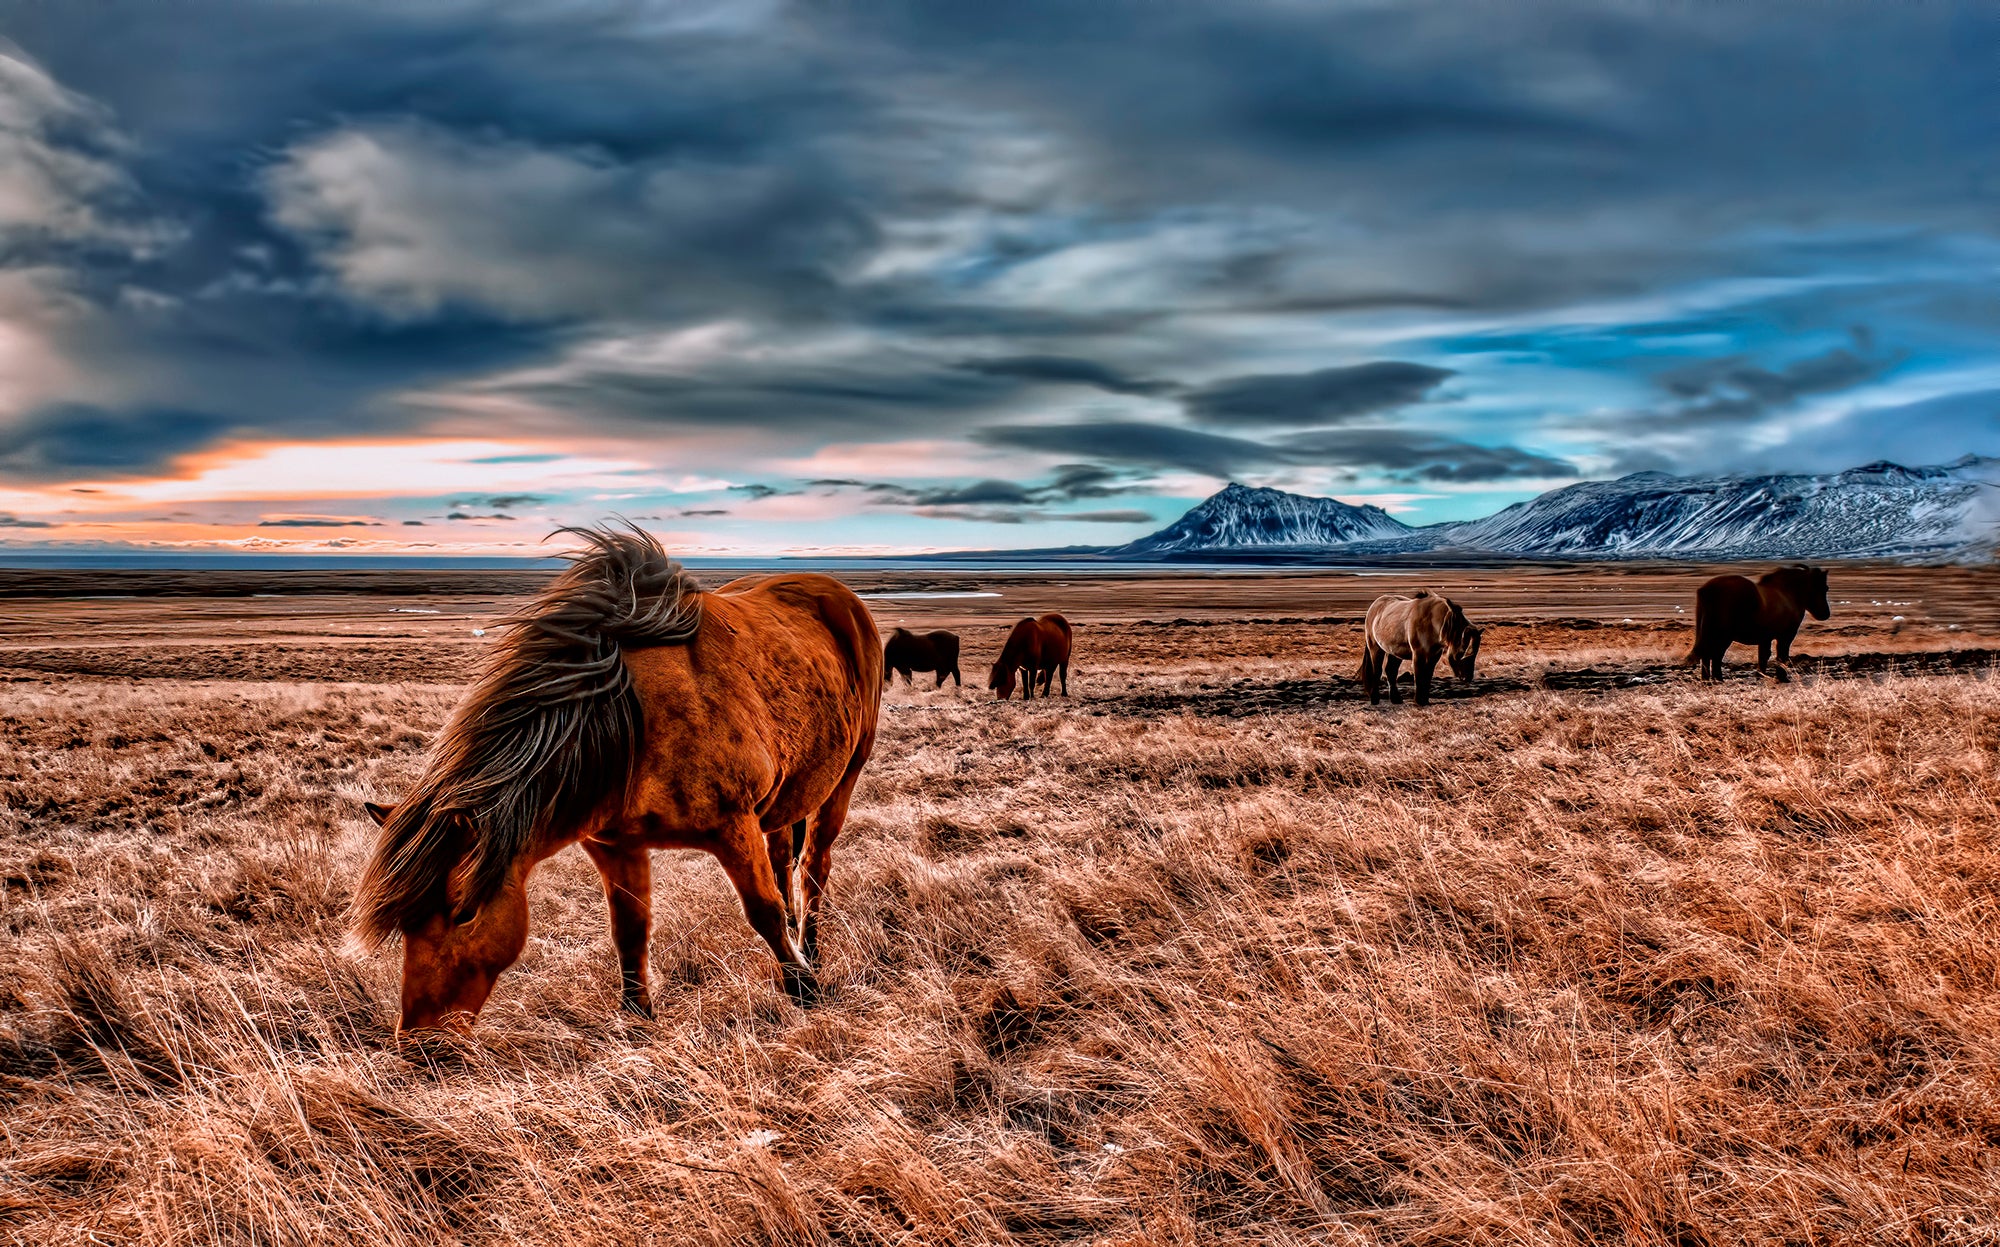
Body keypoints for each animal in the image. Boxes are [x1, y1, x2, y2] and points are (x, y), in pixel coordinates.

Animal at [354, 527, 884, 1031]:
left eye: (464, 912)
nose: (417, 1040)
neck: (630, 726)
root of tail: (839, 594)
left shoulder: (734, 827)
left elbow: (763, 911)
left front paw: (804, 990)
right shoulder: (615, 845)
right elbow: (629, 930)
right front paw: (637, 1017)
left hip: (843, 780)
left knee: (813, 866)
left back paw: (809, 952)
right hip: (787, 798)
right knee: (783, 859)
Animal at [1360, 591, 1488, 707]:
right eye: (1462, 652)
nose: (1468, 677)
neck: (1432, 623)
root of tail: (1374, 606)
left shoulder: (1433, 655)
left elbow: (1427, 675)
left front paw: (1425, 700)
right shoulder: (1418, 654)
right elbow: (1419, 676)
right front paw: (1419, 701)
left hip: (1394, 652)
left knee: (1391, 672)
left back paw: (1396, 699)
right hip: (1375, 647)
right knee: (1377, 671)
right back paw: (1374, 699)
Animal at [1688, 563, 1832, 683]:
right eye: (1824, 588)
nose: (1825, 614)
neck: (1787, 594)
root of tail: (1707, 590)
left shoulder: (1765, 638)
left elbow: (1763, 657)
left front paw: (1761, 676)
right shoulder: (1786, 636)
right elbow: (1781, 656)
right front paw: (1782, 678)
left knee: (1707, 656)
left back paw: (1707, 679)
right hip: (1722, 636)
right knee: (1715, 655)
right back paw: (1718, 679)